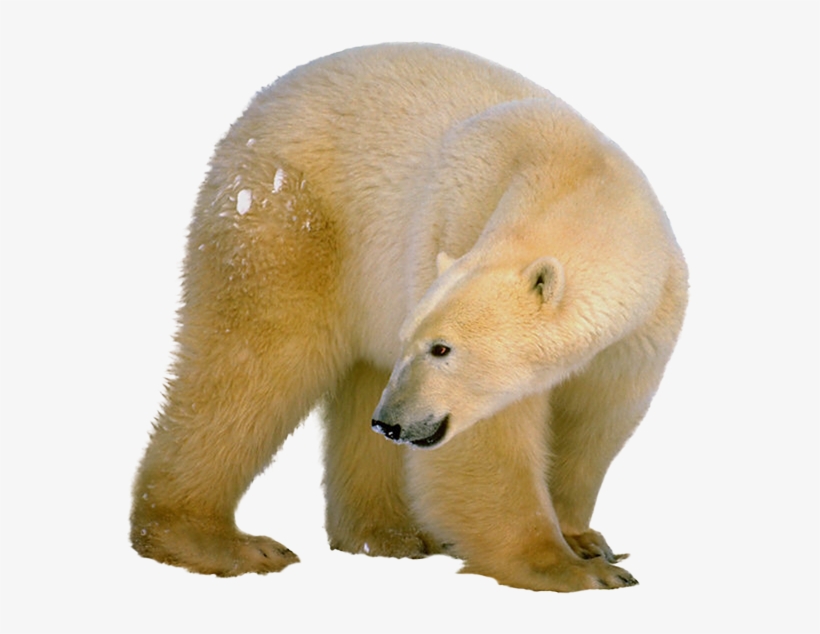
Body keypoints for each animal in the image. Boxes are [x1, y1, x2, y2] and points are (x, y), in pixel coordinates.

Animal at [131, 43, 688, 592]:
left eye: (441, 348)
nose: (392, 422)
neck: (579, 173)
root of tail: (264, 99)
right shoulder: (461, 221)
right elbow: (487, 441)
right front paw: (574, 569)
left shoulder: (641, 333)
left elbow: (595, 422)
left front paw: (588, 541)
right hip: (290, 217)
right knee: (253, 363)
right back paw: (221, 541)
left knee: (355, 380)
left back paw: (389, 534)